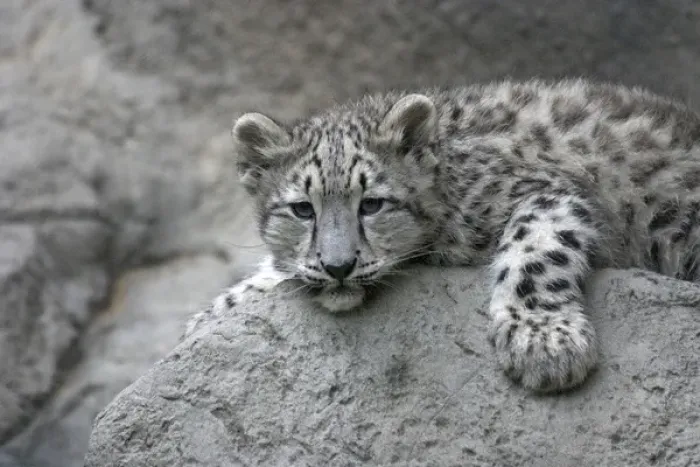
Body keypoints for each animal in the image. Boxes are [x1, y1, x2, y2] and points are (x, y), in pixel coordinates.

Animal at [184, 78, 700, 392]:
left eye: (372, 204)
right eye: (302, 209)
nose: (338, 266)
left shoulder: (552, 192)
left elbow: (534, 249)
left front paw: (545, 345)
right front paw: (209, 317)